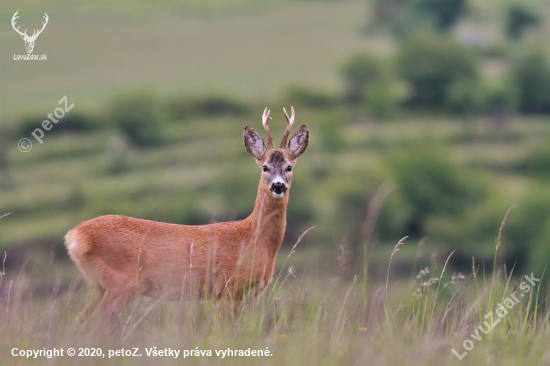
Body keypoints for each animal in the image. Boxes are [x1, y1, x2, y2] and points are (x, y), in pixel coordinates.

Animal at [64, 107, 310, 322]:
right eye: (265, 167)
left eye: (289, 167)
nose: (278, 186)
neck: (254, 239)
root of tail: (73, 236)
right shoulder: (228, 288)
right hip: (121, 282)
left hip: (99, 285)